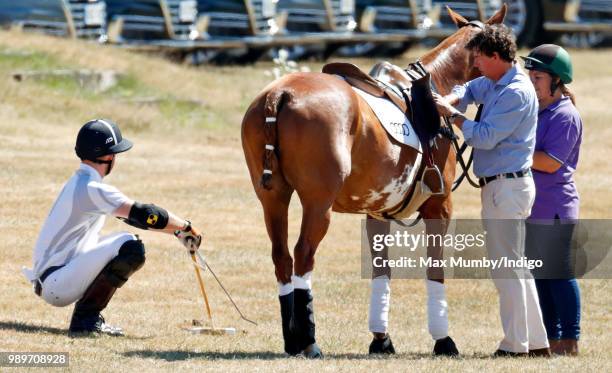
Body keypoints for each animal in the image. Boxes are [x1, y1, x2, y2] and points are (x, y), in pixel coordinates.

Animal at [243, 6, 506, 358]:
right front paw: (443, 340)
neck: (437, 87)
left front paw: (381, 339)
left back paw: (292, 339)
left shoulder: (376, 212)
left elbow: (382, 270)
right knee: (303, 254)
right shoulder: (440, 206)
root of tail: (278, 94)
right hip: (318, 203)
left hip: (272, 198)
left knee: (281, 257)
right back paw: (309, 340)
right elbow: (435, 270)